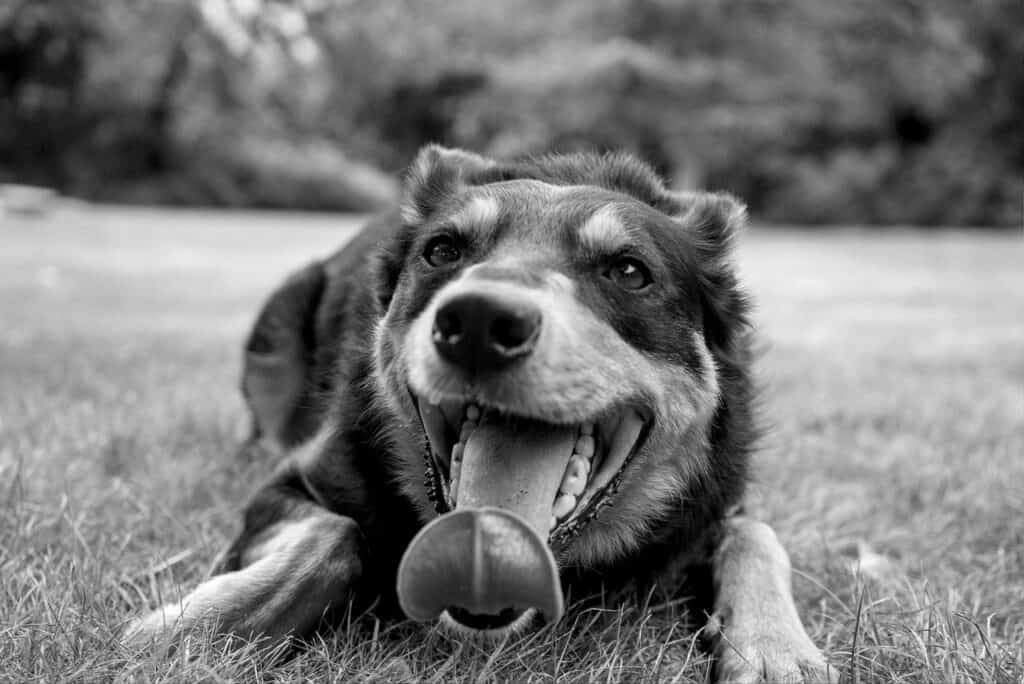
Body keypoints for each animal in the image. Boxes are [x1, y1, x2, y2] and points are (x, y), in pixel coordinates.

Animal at [125, 147, 831, 679]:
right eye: (442, 251)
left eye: (630, 271)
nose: (480, 324)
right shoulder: (292, 482)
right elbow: (334, 536)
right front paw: (194, 626)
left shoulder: (720, 501)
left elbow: (755, 533)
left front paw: (776, 650)